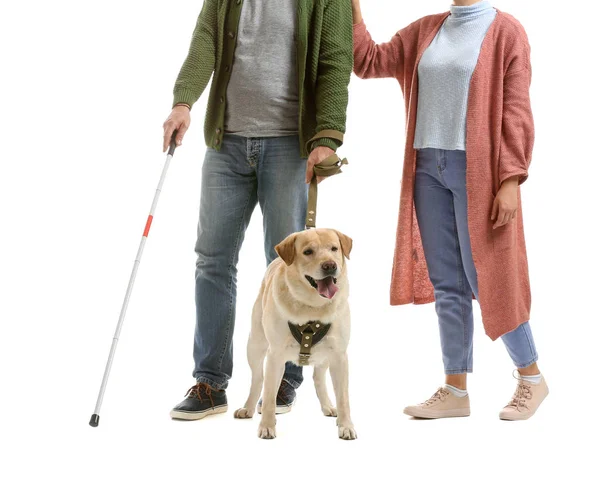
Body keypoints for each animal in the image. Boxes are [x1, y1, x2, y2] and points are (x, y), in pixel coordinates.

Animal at [234, 231, 356, 440]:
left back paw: (329, 407)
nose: (330, 265)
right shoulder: (275, 354)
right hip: (256, 345)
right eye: (308, 252)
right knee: (259, 380)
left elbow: (344, 398)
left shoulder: (339, 355)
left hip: (325, 356)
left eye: (334, 248)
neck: (313, 307)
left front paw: (346, 425)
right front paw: (267, 426)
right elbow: (268, 396)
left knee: (318, 378)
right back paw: (248, 408)